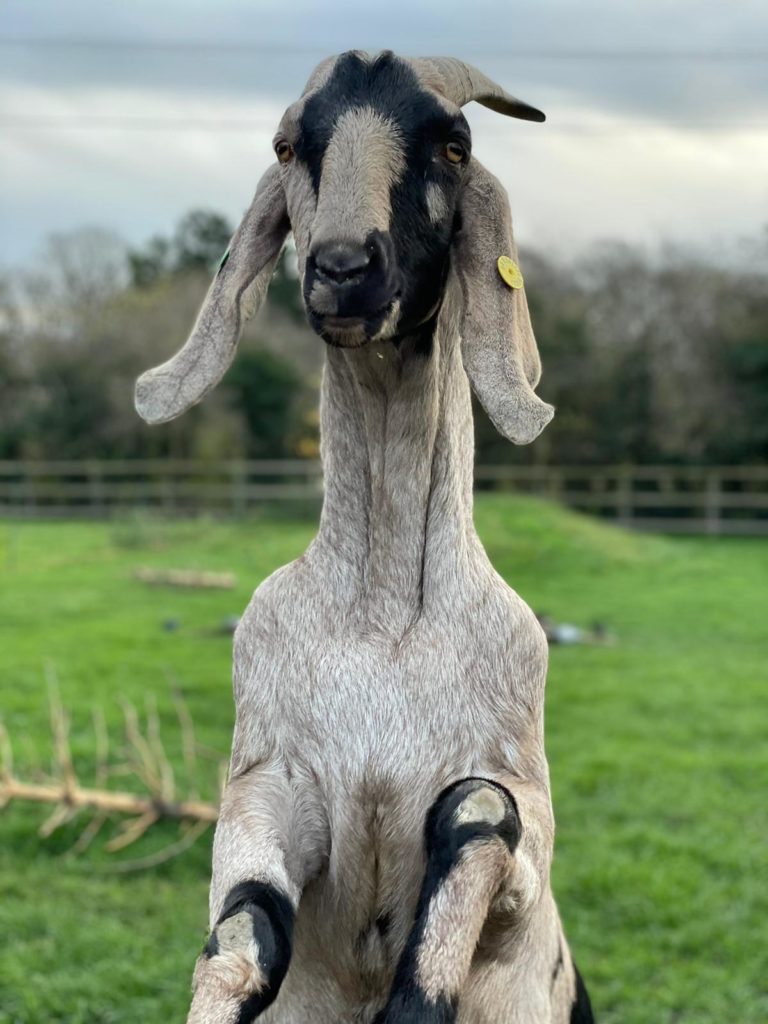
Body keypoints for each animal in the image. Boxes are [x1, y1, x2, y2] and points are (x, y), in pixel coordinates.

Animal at [135, 50, 595, 1024]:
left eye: (454, 145)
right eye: (287, 145)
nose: (344, 268)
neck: (385, 616)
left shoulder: (523, 818)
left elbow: (477, 814)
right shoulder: (270, 783)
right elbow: (244, 936)